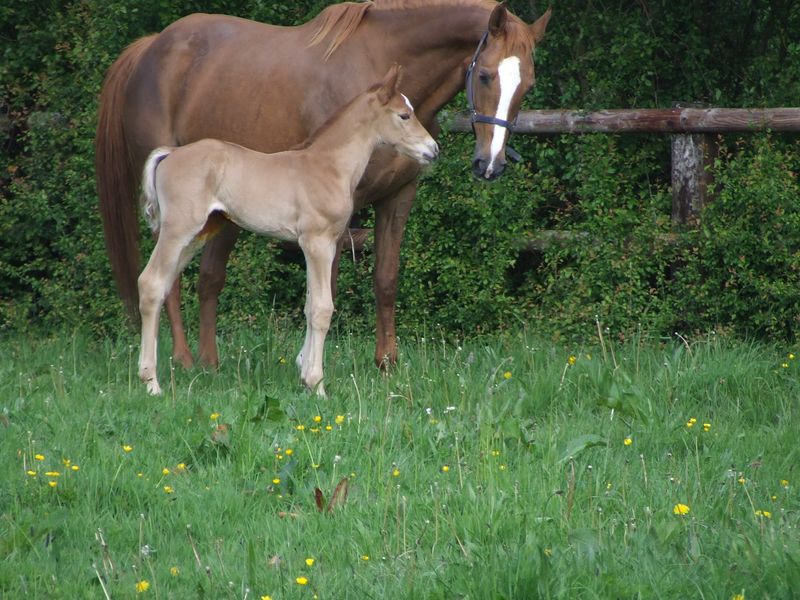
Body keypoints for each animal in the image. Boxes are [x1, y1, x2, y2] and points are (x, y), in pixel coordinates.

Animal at [138, 65, 438, 396]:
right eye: (404, 115)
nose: (433, 150)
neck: (327, 166)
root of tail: (169, 154)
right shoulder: (318, 242)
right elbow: (322, 308)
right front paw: (317, 385)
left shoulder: (314, 245)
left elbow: (308, 306)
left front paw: (305, 377)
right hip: (177, 230)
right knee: (150, 283)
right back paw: (151, 383)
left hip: (196, 235)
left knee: (163, 285)